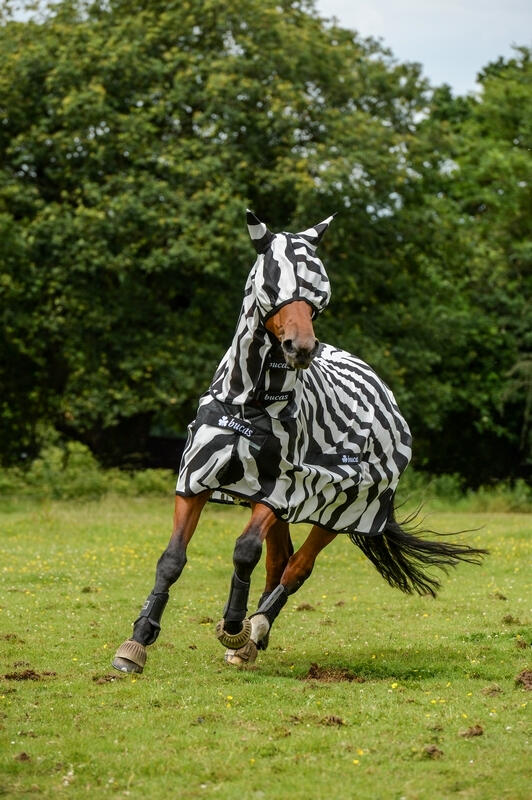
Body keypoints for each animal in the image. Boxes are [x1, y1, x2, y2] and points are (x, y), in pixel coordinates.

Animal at [112, 211, 486, 673]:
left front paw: (233, 626)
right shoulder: (197, 480)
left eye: (319, 290)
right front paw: (136, 642)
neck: (250, 403)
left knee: (296, 568)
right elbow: (172, 560)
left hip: (339, 506)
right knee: (278, 560)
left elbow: (244, 552)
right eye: (272, 285)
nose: (301, 347)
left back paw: (254, 630)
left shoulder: (279, 489)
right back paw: (251, 638)